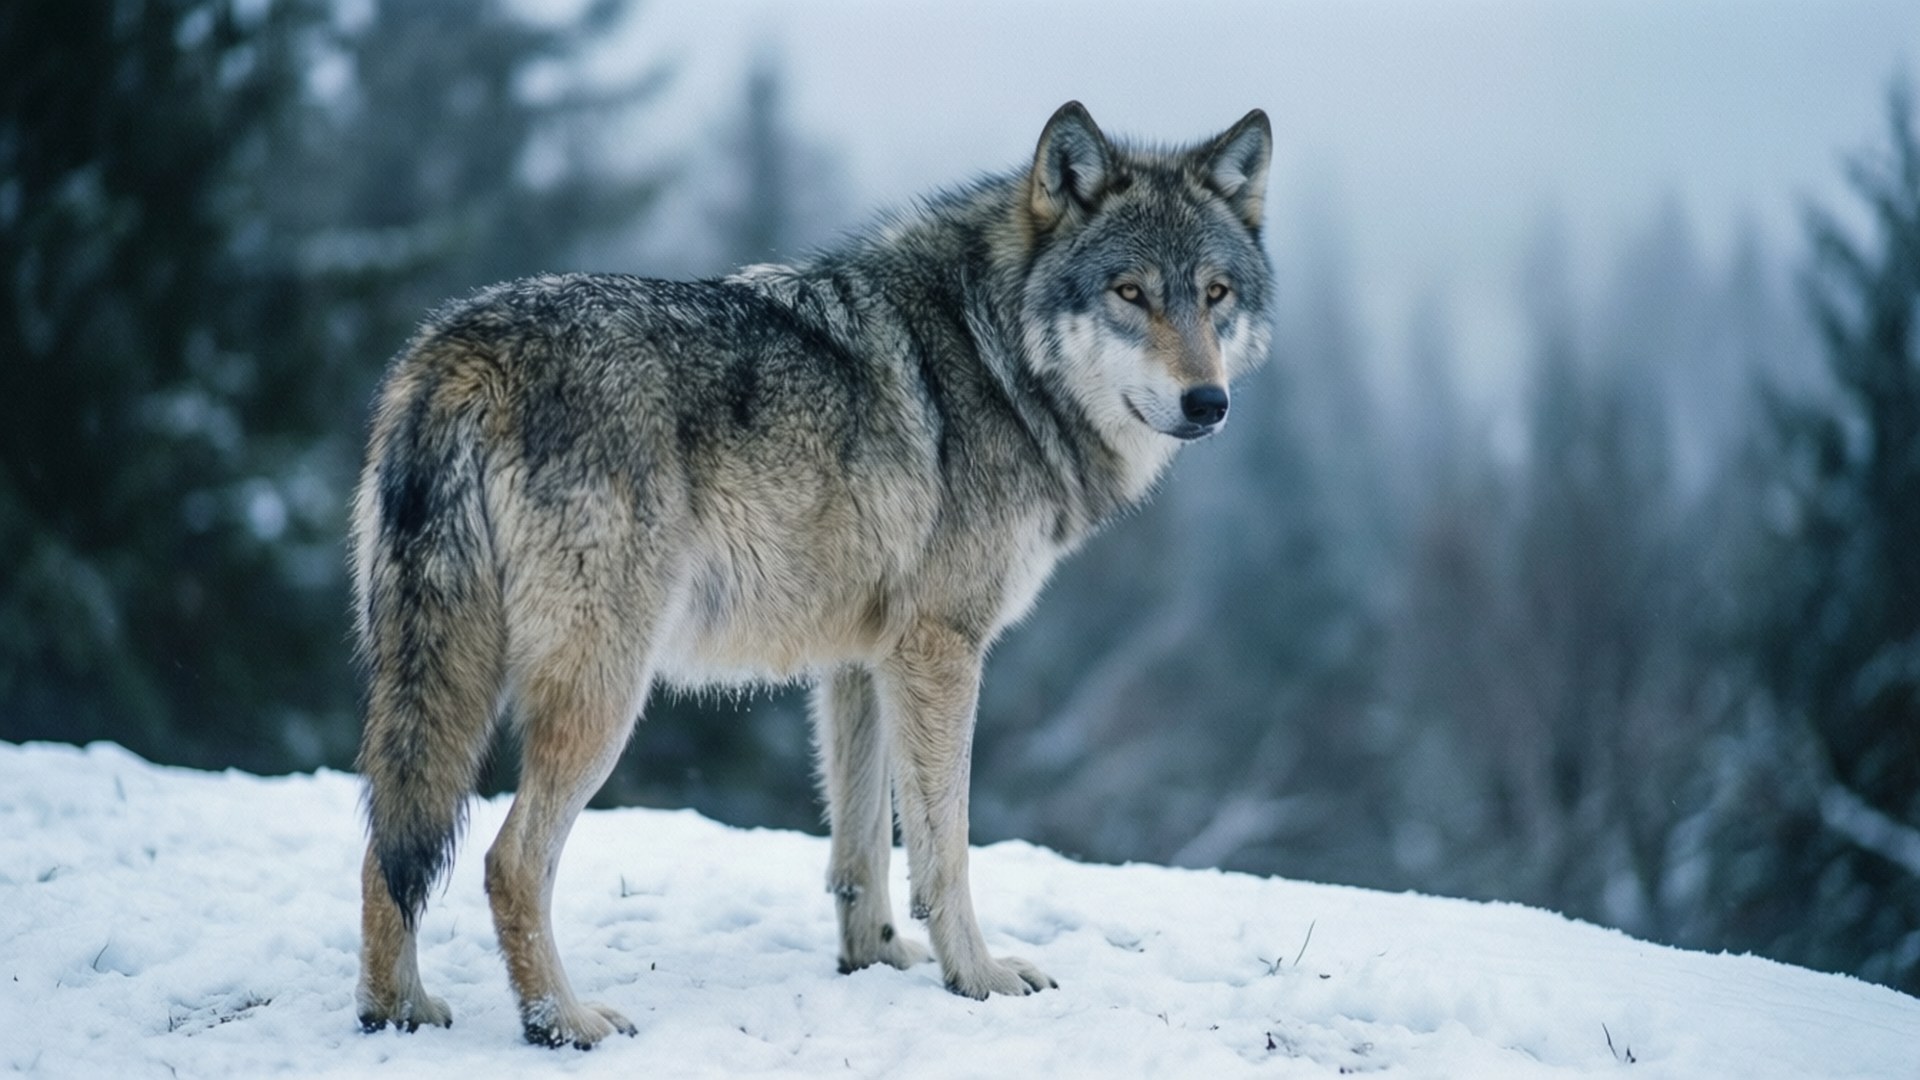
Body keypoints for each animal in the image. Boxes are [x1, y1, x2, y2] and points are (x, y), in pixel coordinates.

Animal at [351, 101, 1273, 1047]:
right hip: (602, 691)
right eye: (1129, 293)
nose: (1209, 403)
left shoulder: (860, 663)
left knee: (386, 846)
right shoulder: (941, 651)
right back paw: (563, 1022)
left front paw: (875, 959)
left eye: (1214, 295)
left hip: (436, 677)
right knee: (508, 859)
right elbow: (945, 847)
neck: (996, 353)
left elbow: (860, 847)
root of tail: (460, 350)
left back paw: (397, 1011)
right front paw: (976, 977)